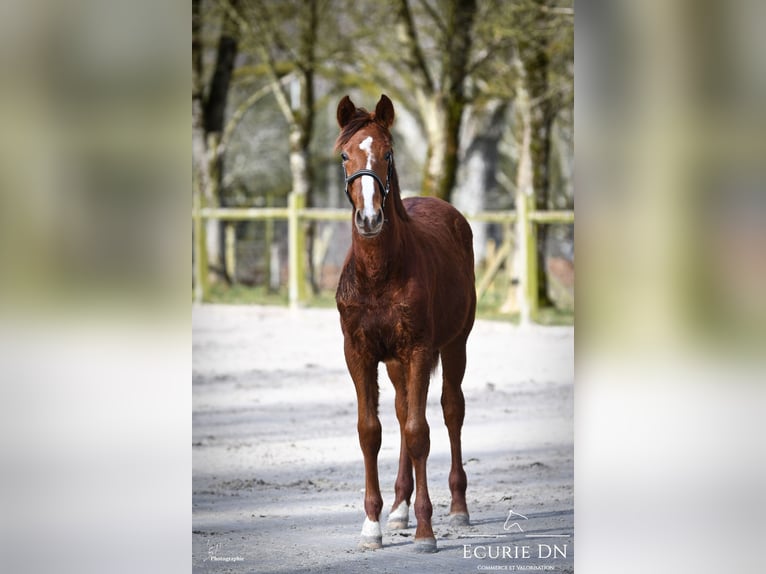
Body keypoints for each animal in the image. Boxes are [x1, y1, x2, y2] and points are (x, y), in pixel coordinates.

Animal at [338, 94, 480, 552]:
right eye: (344, 154)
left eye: (388, 153)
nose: (369, 219)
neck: (380, 274)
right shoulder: (359, 352)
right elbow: (371, 430)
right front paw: (372, 526)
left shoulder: (419, 349)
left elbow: (420, 432)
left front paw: (425, 532)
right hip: (397, 363)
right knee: (401, 412)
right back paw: (399, 508)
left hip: (455, 345)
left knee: (451, 410)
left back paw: (458, 508)